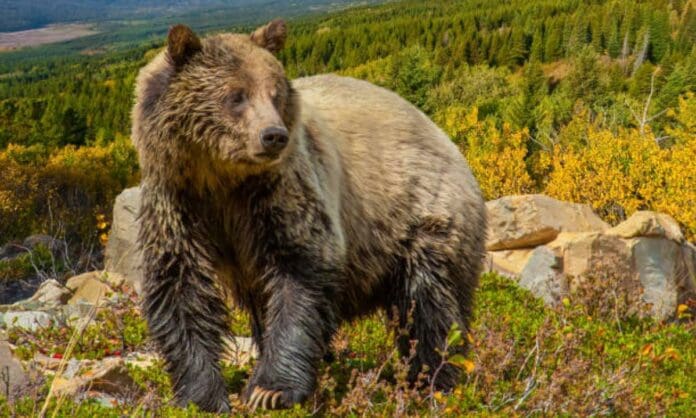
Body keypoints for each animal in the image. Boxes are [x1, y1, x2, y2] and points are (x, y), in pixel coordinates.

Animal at [131, 19, 486, 412]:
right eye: (236, 95)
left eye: (275, 93)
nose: (273, 135)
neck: (221, 179)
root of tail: (448, 142)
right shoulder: (179, 200)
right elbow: (180, 286)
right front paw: (202, 396)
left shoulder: (280, 191)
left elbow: (300, 270)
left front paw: (269, 390)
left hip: (423, 215)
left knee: (430, 305)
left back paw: (436, 380)